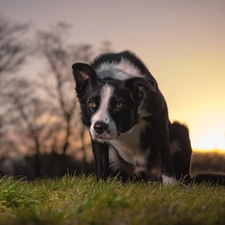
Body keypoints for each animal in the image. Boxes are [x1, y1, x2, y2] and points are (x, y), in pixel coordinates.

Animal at [72, 51, 188, 185]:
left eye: (119, 104)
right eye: (92, 103)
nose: (100, 127)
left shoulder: (159, 116)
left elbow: (165, 152)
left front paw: (170, 184)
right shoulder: (92, 130)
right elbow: (100, 161)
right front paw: (101, 185)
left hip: (180, 130)